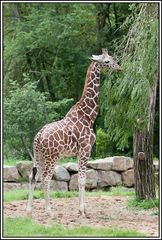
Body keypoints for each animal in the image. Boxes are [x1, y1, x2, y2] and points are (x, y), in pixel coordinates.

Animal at [26, 48, 121, 218]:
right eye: (107, 61)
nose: (119, 67)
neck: (88, 115)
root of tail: (38, 137)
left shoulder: (78, 152)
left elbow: (80, 179)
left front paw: (82, 209)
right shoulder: (86, 149)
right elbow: (82, 180)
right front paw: (82, 211)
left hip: (39, 155)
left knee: (33, 177)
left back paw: (29, 212)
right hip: (52, 156)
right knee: (45, 179)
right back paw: (50, 212)